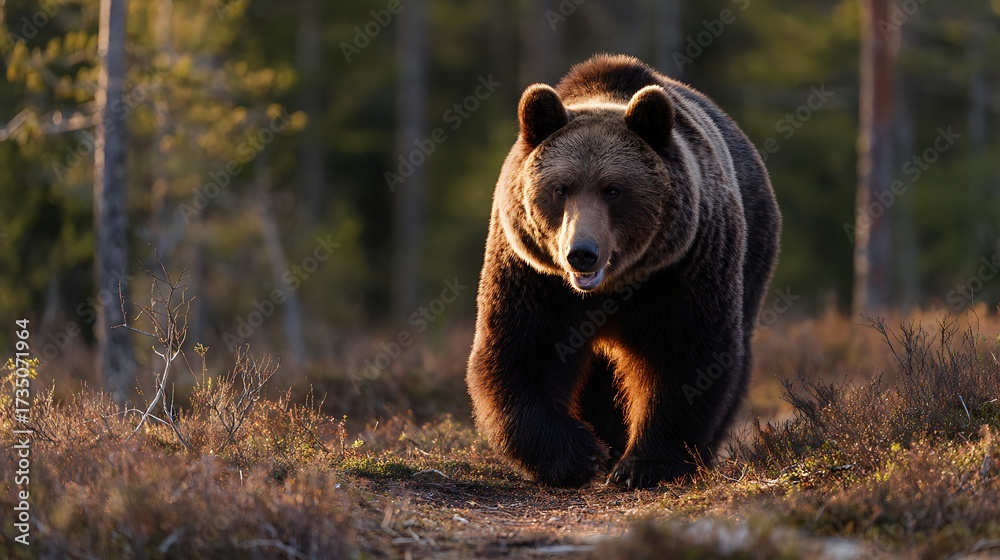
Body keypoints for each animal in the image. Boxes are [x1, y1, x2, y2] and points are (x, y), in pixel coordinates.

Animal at [466, 54, 781, 489]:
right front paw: (580, 454)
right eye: (560, 189)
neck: (610, 289)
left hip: (753, 248)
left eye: (613, 189)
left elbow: (686, 355)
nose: (582, 254)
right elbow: (520, 353)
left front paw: (646, 465)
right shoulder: (534, 276)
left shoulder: (682, 269)